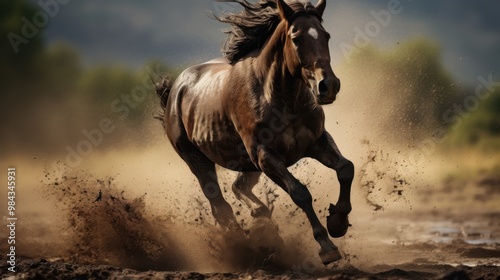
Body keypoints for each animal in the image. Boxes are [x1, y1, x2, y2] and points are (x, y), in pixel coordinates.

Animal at [154, 0, 354, 264]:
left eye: (326, 35)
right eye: (296, 38)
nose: (328, 86)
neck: (280, 99)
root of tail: (175, 90)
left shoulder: (317, 141)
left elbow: (346, 169)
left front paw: (338, 222)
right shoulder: (265, 156)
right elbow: (300, 193)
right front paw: (326, 246)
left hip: (246, 165)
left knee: (238, 188)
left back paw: (261, 216)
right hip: (198, 161)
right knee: (220, 207)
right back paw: (245, 245)